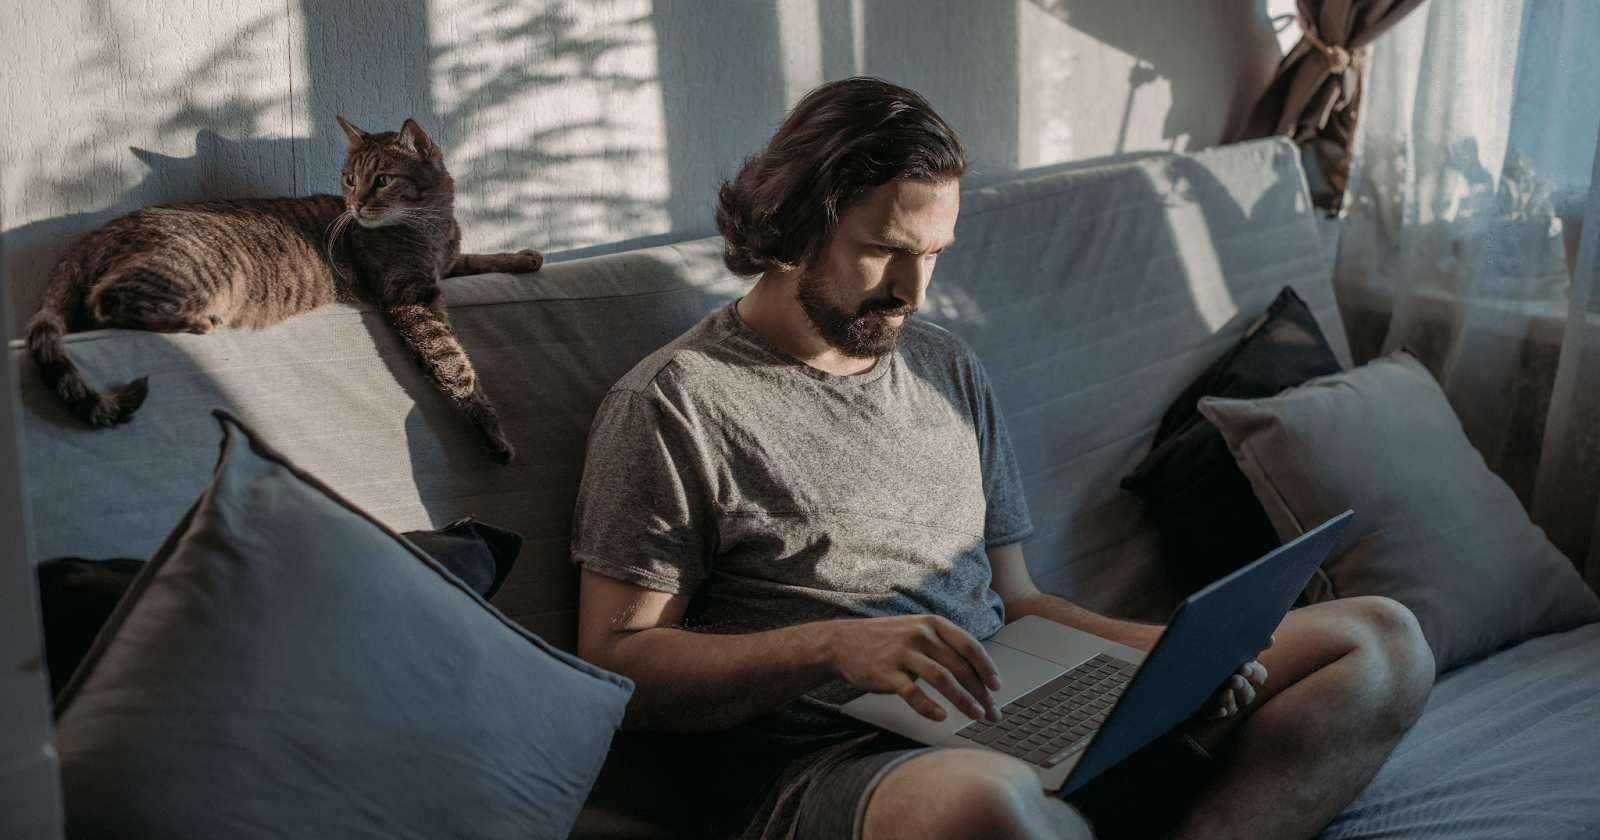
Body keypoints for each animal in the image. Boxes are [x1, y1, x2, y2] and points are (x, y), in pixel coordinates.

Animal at [25, 115, 537, 460]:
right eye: (351, 179)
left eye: (383, 179)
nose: (356, 203)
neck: (433, 227)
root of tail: (87, 238)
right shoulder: (409, 295)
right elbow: (453, 365)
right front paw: (490, 428)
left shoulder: (443, 266)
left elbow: (477, 258)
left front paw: (524, 256)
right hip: (197, 275)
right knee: (102, 302)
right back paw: (199, 322)